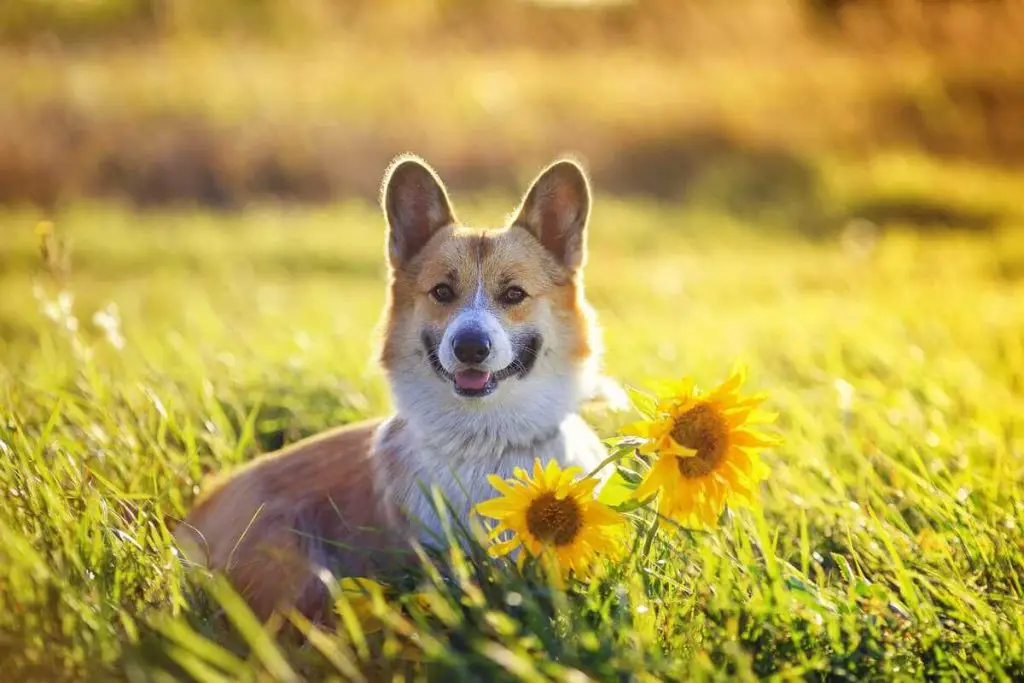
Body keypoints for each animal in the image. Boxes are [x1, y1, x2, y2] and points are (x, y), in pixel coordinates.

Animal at [174, 156, 614, 626]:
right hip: (293, 571)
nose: (470, 347)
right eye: (442, 291)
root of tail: (194, 516)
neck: (486, 442)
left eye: (514, 294)